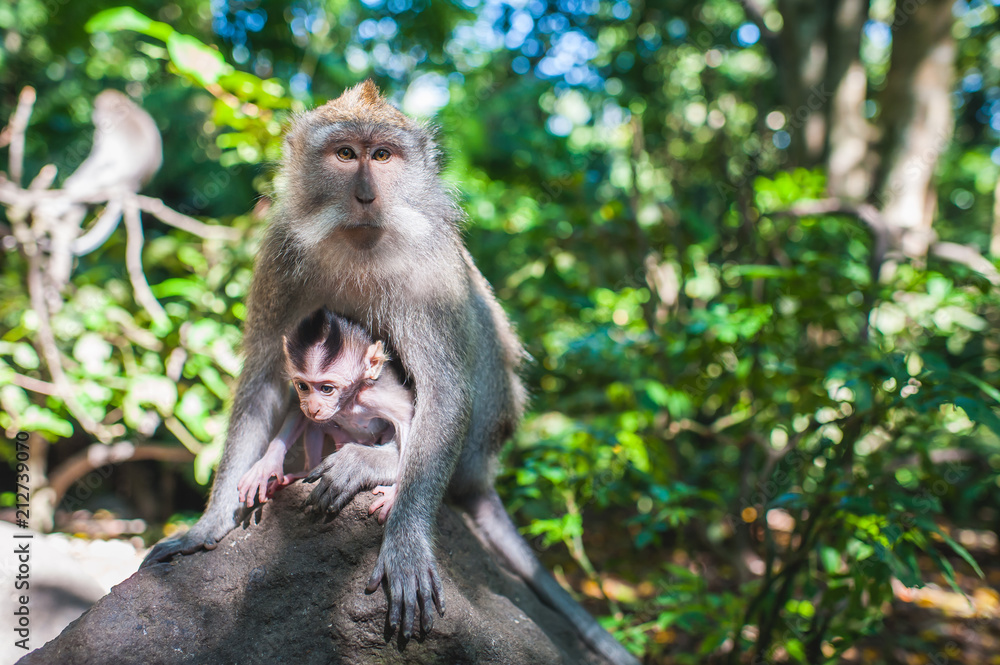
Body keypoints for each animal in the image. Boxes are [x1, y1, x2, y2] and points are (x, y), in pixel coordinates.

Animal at [237, 307, 410, 526]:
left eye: (326, 388)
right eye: (303, 386)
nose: (313, 407)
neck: (349, 401)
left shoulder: (378, 396)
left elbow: (407, 419)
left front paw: (395, 494)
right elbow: (300, 413)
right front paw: (267, 465)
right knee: (314, 426)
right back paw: (303, 472)